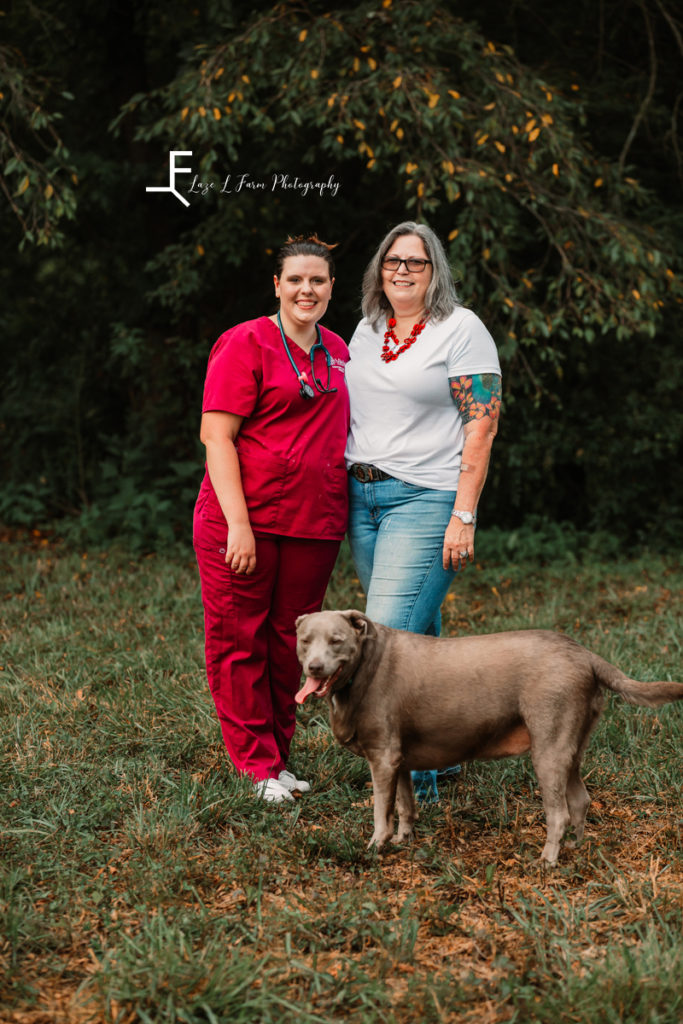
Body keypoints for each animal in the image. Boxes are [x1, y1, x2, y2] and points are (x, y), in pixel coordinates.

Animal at [294, 606, 683, 864]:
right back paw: (573, 848)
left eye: (337, 641)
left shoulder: (383, 757)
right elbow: (405, 805)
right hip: (570, 748)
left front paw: (376, 846)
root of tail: (584, 652)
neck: (362, 670)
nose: (314, 667)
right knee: (580, 800)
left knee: (557, 813)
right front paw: (404, 839)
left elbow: (380, 810)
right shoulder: (399, 759)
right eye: (304, 641)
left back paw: (547, 860)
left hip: (548, 750)